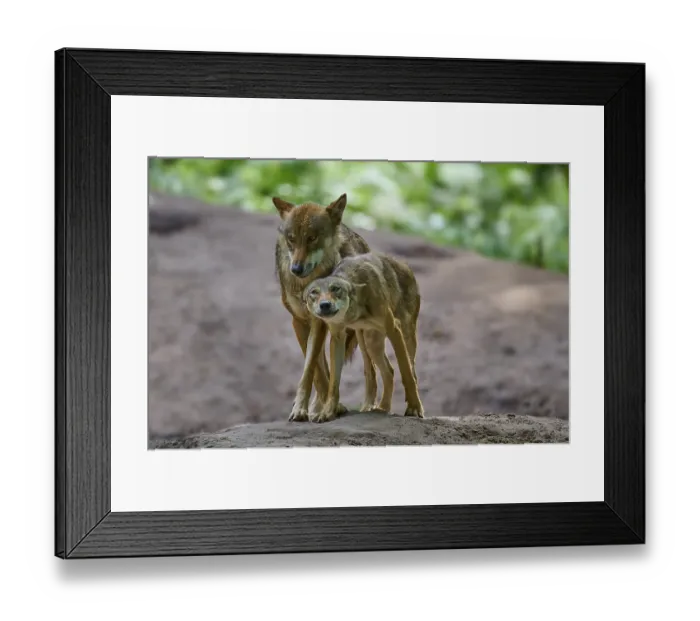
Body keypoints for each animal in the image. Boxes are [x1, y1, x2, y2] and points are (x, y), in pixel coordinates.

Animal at [273, 193, 371, 422]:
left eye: (312, 238)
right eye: (291, 239)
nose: (296, 268)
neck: (305, 286)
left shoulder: (318, 323)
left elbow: (311, 369)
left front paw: (320, 408)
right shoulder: (299, 322)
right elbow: (316, 371)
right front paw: (304, 409)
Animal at [296, 251, 424, 423]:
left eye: (335, 289)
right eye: (314, 293)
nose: (325, 305)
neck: (355, 314)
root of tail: (405, 265)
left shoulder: (394, 329)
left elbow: (406, 374)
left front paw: (414, 409)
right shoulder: (337, 336)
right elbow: (333, 383)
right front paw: (328, 412)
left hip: (406, 336)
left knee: (412, 373)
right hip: (370, 342)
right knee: (388, 371)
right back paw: (382, 408)